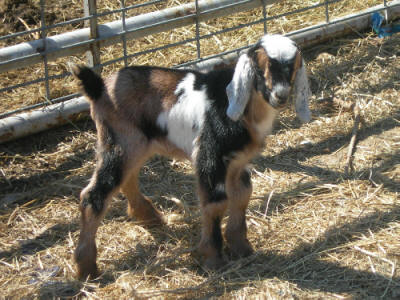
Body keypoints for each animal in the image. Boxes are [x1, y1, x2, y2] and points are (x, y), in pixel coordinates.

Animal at [70, 34, 310, 280]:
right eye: (260, 69)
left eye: (293, 66)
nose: (280, 95)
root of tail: (99, 88)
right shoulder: (209, 155)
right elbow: (216, 202)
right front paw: (213, 258)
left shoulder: (237, 160)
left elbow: (243, 194)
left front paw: (241, 247)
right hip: (121, 142)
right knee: (94, 195)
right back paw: (87, 268)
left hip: (135, 145)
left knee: (127, 178)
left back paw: (150, 217)